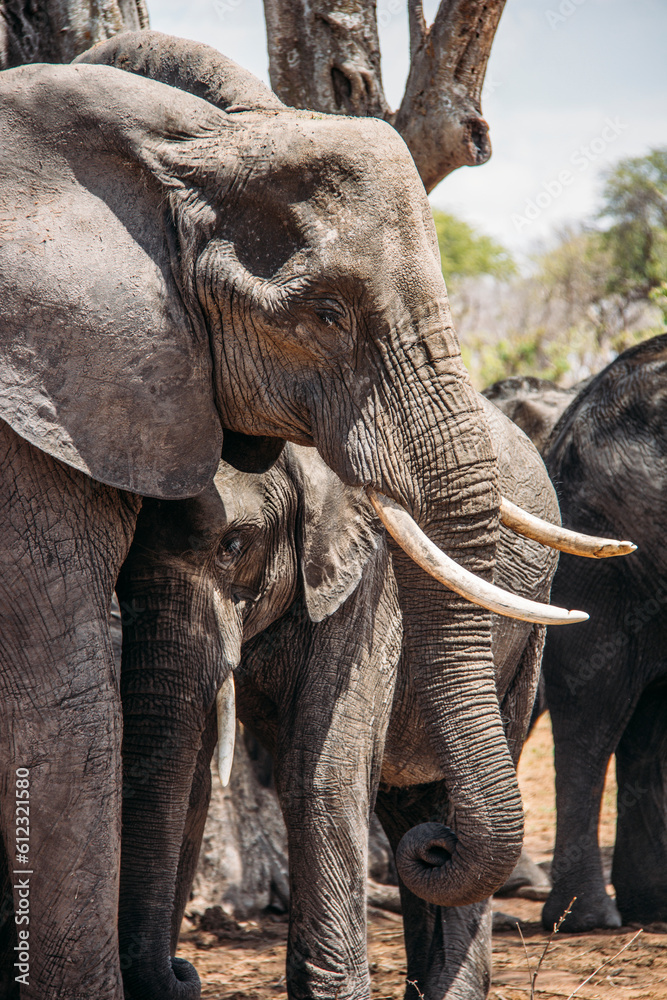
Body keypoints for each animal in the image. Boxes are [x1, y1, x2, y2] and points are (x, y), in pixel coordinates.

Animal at [111, 395, 566, 1000]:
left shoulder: (371, 576)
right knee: (414, 806)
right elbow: (189, 779)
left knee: (451, 791)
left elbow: (321, 774)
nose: (184, 971)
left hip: (528, 631)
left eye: (233, 546)